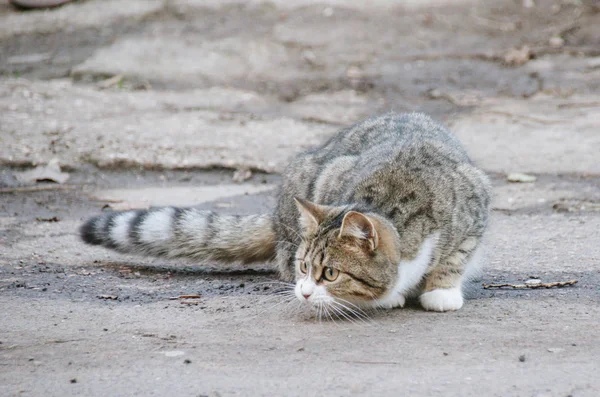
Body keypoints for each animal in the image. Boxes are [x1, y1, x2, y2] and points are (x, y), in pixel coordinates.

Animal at [81, 111, 492, 312]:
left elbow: (455, 257)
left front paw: (441, 291)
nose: (305, 292)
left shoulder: (475, 203)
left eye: (330, 273)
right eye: (304, 267)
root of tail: (277, 217)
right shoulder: (334, 176)